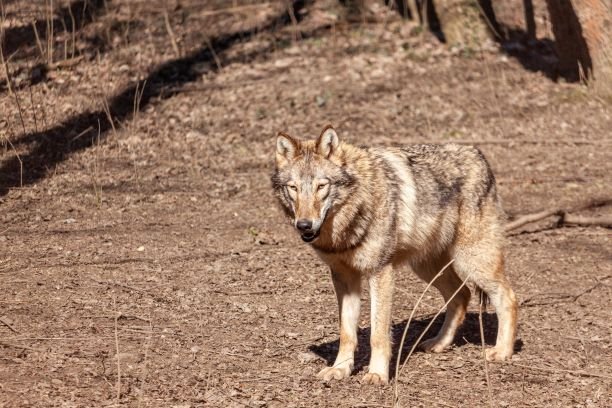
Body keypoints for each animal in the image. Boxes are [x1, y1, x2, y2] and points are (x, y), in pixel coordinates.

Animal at [272, 125, 516, 386]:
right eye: (293, 188)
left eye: (321, 186)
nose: (304, 225)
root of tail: (478, 153)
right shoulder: (343, 278)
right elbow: (347, 332)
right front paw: (340, 369)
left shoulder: (380, 273)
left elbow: (378, 333)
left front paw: (377, 374)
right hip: (426, 268)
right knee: (461, 295)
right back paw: (439, 343)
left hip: (472, 262)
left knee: (508, 297)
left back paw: (502, 351)